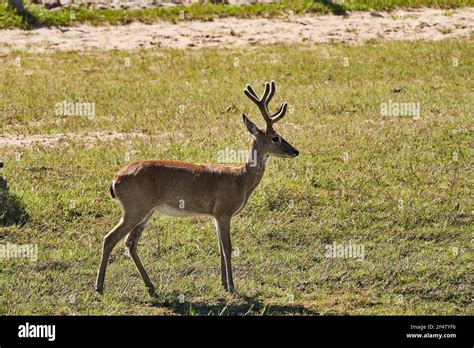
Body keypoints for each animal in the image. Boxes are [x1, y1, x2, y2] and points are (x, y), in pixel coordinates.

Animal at [94, 80, 298, 294]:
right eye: (275, 138)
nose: (295, 151)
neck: (240, 179)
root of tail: (115, 180)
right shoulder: (224, 211)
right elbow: (227, 248)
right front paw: (232, 287)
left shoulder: (216, 215)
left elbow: (220, 247)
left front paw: (223, 283)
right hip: (135, 208)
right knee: (110, 238)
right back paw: (99, 286)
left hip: (146, 211)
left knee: (130, 242)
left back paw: (150, 285)